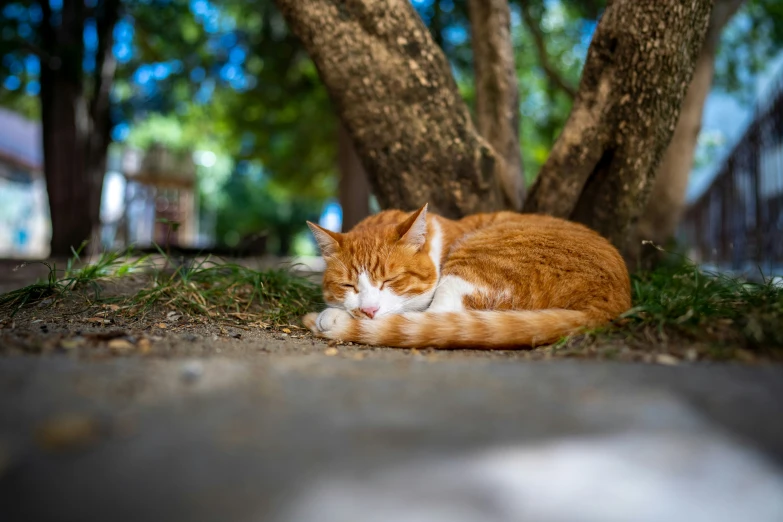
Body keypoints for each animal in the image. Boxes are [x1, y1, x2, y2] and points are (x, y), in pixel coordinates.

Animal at [304, 205, 632, 348]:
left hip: (476, 261)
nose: (368, 310)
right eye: (348, 285)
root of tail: (613, 300)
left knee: (436, 319)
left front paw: (333, 314)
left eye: (391, 280)